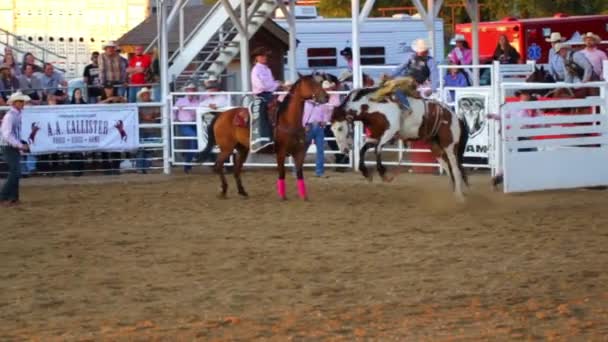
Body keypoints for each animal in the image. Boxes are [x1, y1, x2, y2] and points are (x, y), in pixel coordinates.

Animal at [330, 82, 468, 200]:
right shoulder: (375, 136)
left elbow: (377, 149)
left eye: (340, 128)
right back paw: (453, 193)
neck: (374, 107)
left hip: (450, 145)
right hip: (435, 146)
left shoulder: (390, 132)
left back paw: (459, 197)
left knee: (455, 168)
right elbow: (363, 149)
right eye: (332, 129)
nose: (344, 150)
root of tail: (455, 116)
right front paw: (366, 173)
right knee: (447, 168)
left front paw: (383, 174)